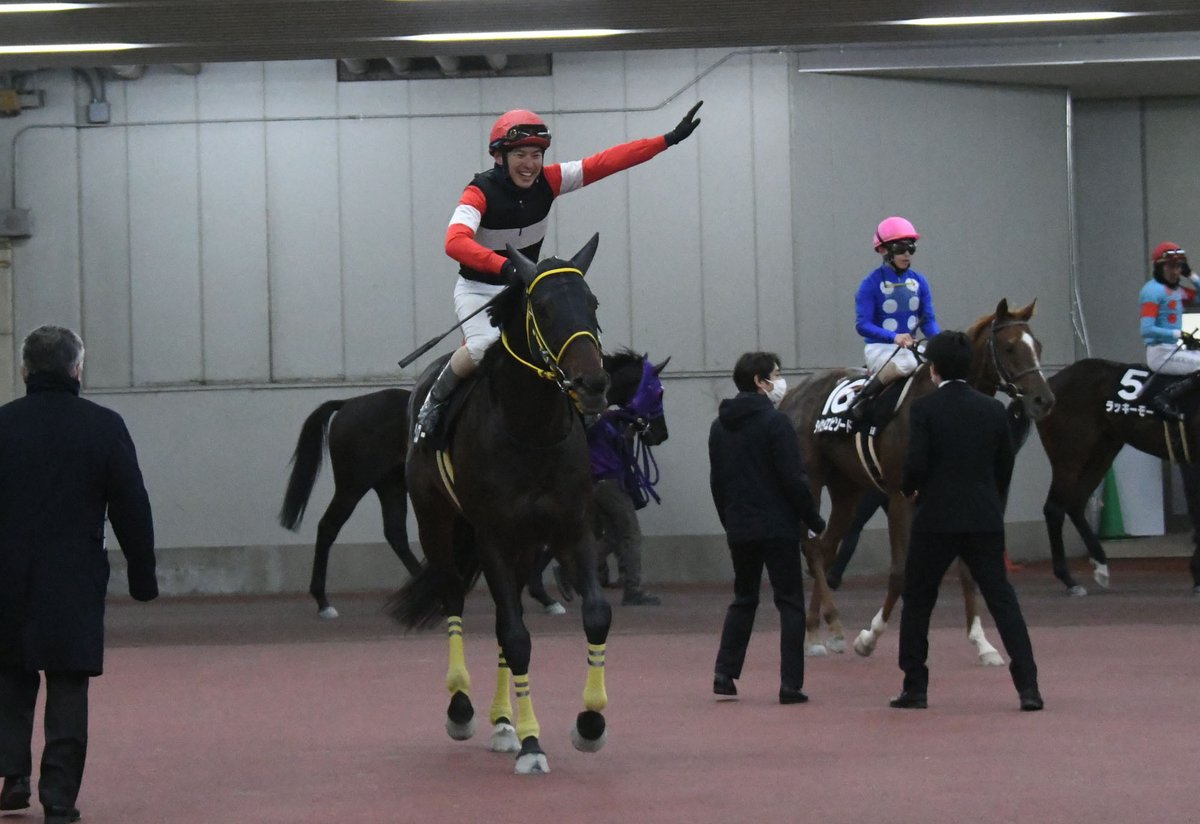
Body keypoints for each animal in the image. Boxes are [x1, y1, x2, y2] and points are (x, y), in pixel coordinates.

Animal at [278, 353, 667, 619]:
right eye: (657, 391)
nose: (660, 434)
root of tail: (346, 403)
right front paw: (547, 594)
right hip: (353, 484)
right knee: (328, 528)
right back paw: (324, 601)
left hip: (392, 487)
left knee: (396, 533)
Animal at [386, 235, 612, 775]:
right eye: (544, 308)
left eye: (592, 303)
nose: (593, 384)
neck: (533, 432)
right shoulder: (490, 535)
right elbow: (515, 635)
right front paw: (532, 744)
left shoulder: (571, 528)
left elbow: (594, 614)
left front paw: (589, 723)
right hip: (437, 522)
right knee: (452, 596)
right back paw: (464, 710)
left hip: (524, 546)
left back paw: (503, 722)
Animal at [779, 299, 1055, 663]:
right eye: (1009, 347)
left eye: (1037, 346)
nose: (1044, 400)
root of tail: (793, 393)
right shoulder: (900, 497)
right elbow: (900, 571)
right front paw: (869, 637)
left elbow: (966, 570)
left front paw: (982, 642)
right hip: (809, 480)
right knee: (812, 547)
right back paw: (830, 627)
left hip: (847, 489)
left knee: (825, 548)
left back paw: (819, 631)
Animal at [1034, 358, 1200, 595]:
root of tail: (1050, 384)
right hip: (1069, 455)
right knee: (1054, 508)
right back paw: (1069, 580)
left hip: (1103, 450)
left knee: (1075, 503)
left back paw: (1101, 564)